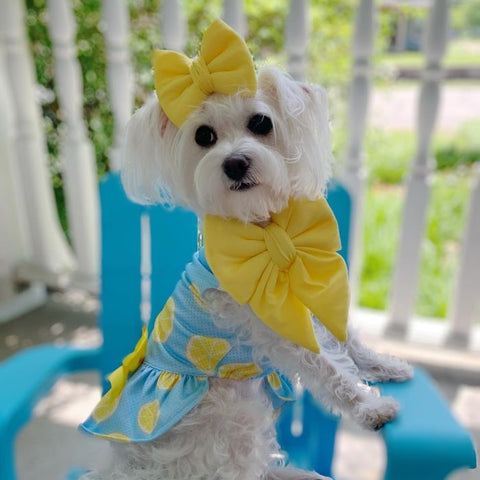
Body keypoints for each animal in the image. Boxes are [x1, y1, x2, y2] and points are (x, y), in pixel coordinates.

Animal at [86, 64, 412, 480]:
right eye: (203, 135)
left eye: (261, 122)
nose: (235, 163)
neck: (267, 236)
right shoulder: (278, 328)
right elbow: (328, 368)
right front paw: (372, 408)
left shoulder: (308, 296)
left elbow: (348, 341)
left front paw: (386, 366)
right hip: (232, 413)